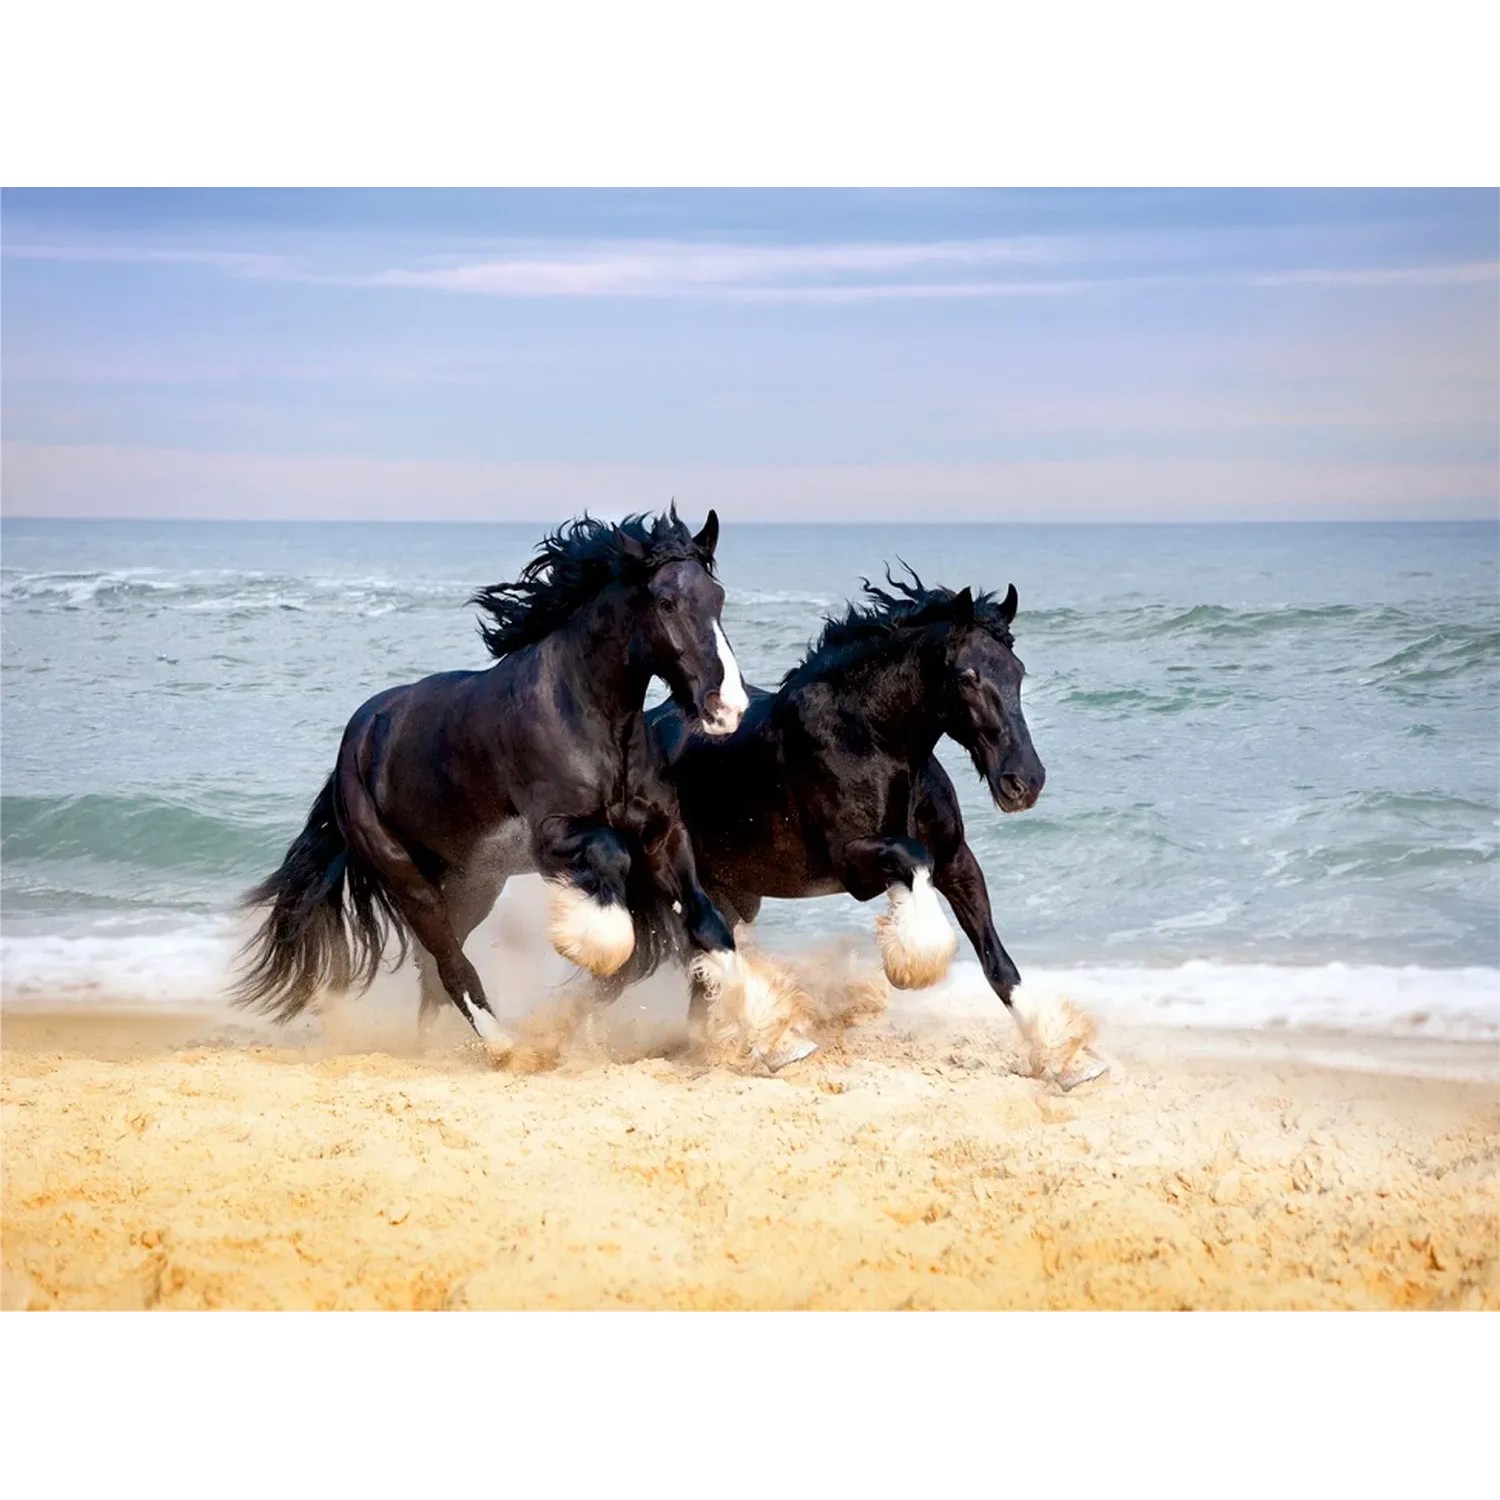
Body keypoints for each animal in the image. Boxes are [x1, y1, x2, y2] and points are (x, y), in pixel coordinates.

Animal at [230, 507, 769, 1058]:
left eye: (717, 597)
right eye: (665, 602)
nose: (727, 708)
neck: (590, 718)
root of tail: (356, 741)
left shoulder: (663, 833)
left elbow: (708, 923)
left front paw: (766, 1029)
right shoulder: (551, 835)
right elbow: (611, 856)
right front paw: (593, 941)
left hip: (471, 882)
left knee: (433, 968)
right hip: (408, 879)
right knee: (450, 963)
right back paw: (505, 1047)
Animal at [593, 566, 1106, 1089]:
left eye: (1017, 672)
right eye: (967, 675)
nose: (1024, 782)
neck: (871, 740)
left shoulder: (957, 859)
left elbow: (997, 962)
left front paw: (1066, 1061)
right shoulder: (852, 861)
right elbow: (911, 857)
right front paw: (914, 959)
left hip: (728, 897)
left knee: (705, 970)